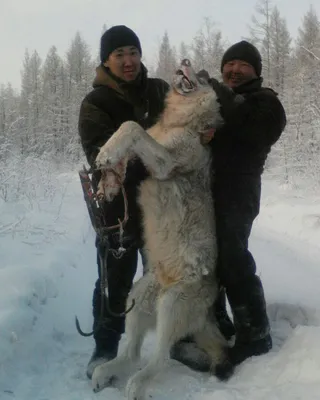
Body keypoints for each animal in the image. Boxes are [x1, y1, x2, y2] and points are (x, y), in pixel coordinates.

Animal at [92, 59, 232, 400]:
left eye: (204, 76)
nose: (185, 61)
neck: (180, 124)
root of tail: (207, 313)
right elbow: (127, 138)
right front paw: (109, 178)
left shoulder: (164, 162)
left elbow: (131, 126)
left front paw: (107, 154)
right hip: (137, 298)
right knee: (131, 353)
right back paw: (104, 373)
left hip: (170, 304)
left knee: (160, 359)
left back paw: (135, 385)